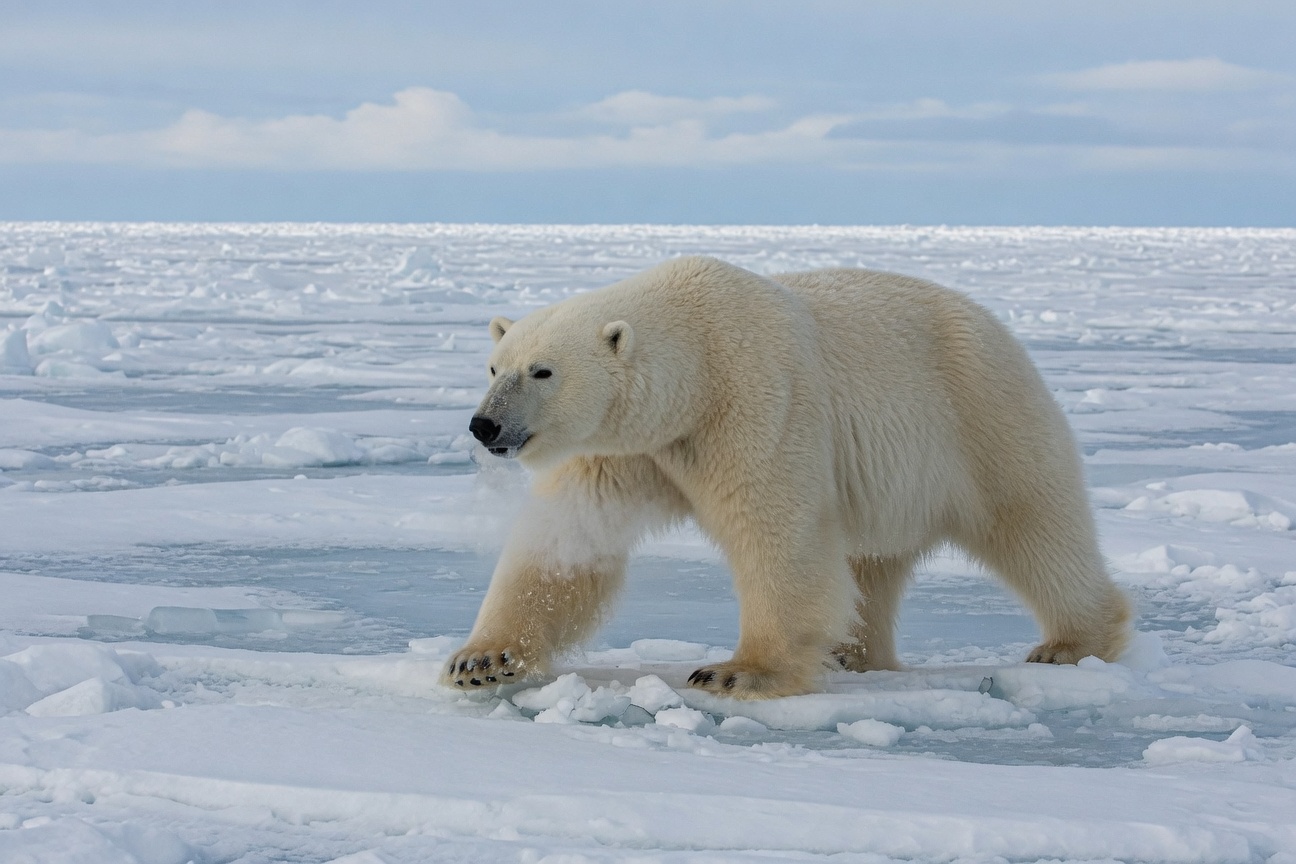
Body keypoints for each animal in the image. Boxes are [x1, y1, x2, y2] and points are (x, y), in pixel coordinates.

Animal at [443, 256, 1131, 699]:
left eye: (543, 371)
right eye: (494, 365)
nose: (484, 425)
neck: (697, 358)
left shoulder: (756, 401)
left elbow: (775, 531)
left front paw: (736, 672)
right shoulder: (630, 448)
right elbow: (569, 542)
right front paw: (481, 660)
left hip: (981, 415)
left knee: (1033, 524)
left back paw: (1072, 643)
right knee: (871, 564)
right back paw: (850, 653)